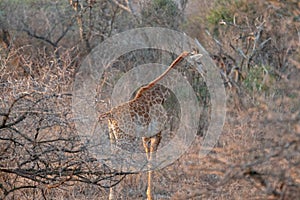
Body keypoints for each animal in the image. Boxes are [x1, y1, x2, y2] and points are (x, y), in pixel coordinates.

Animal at [99, 50, 192, 199]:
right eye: (193, 57)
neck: (160, 95)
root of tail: (110, 115)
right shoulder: (157, 134)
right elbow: (152, 162)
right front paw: (150, 195)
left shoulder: (145, 138)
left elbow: (148, 160)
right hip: (125, 140)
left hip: (113, 137)